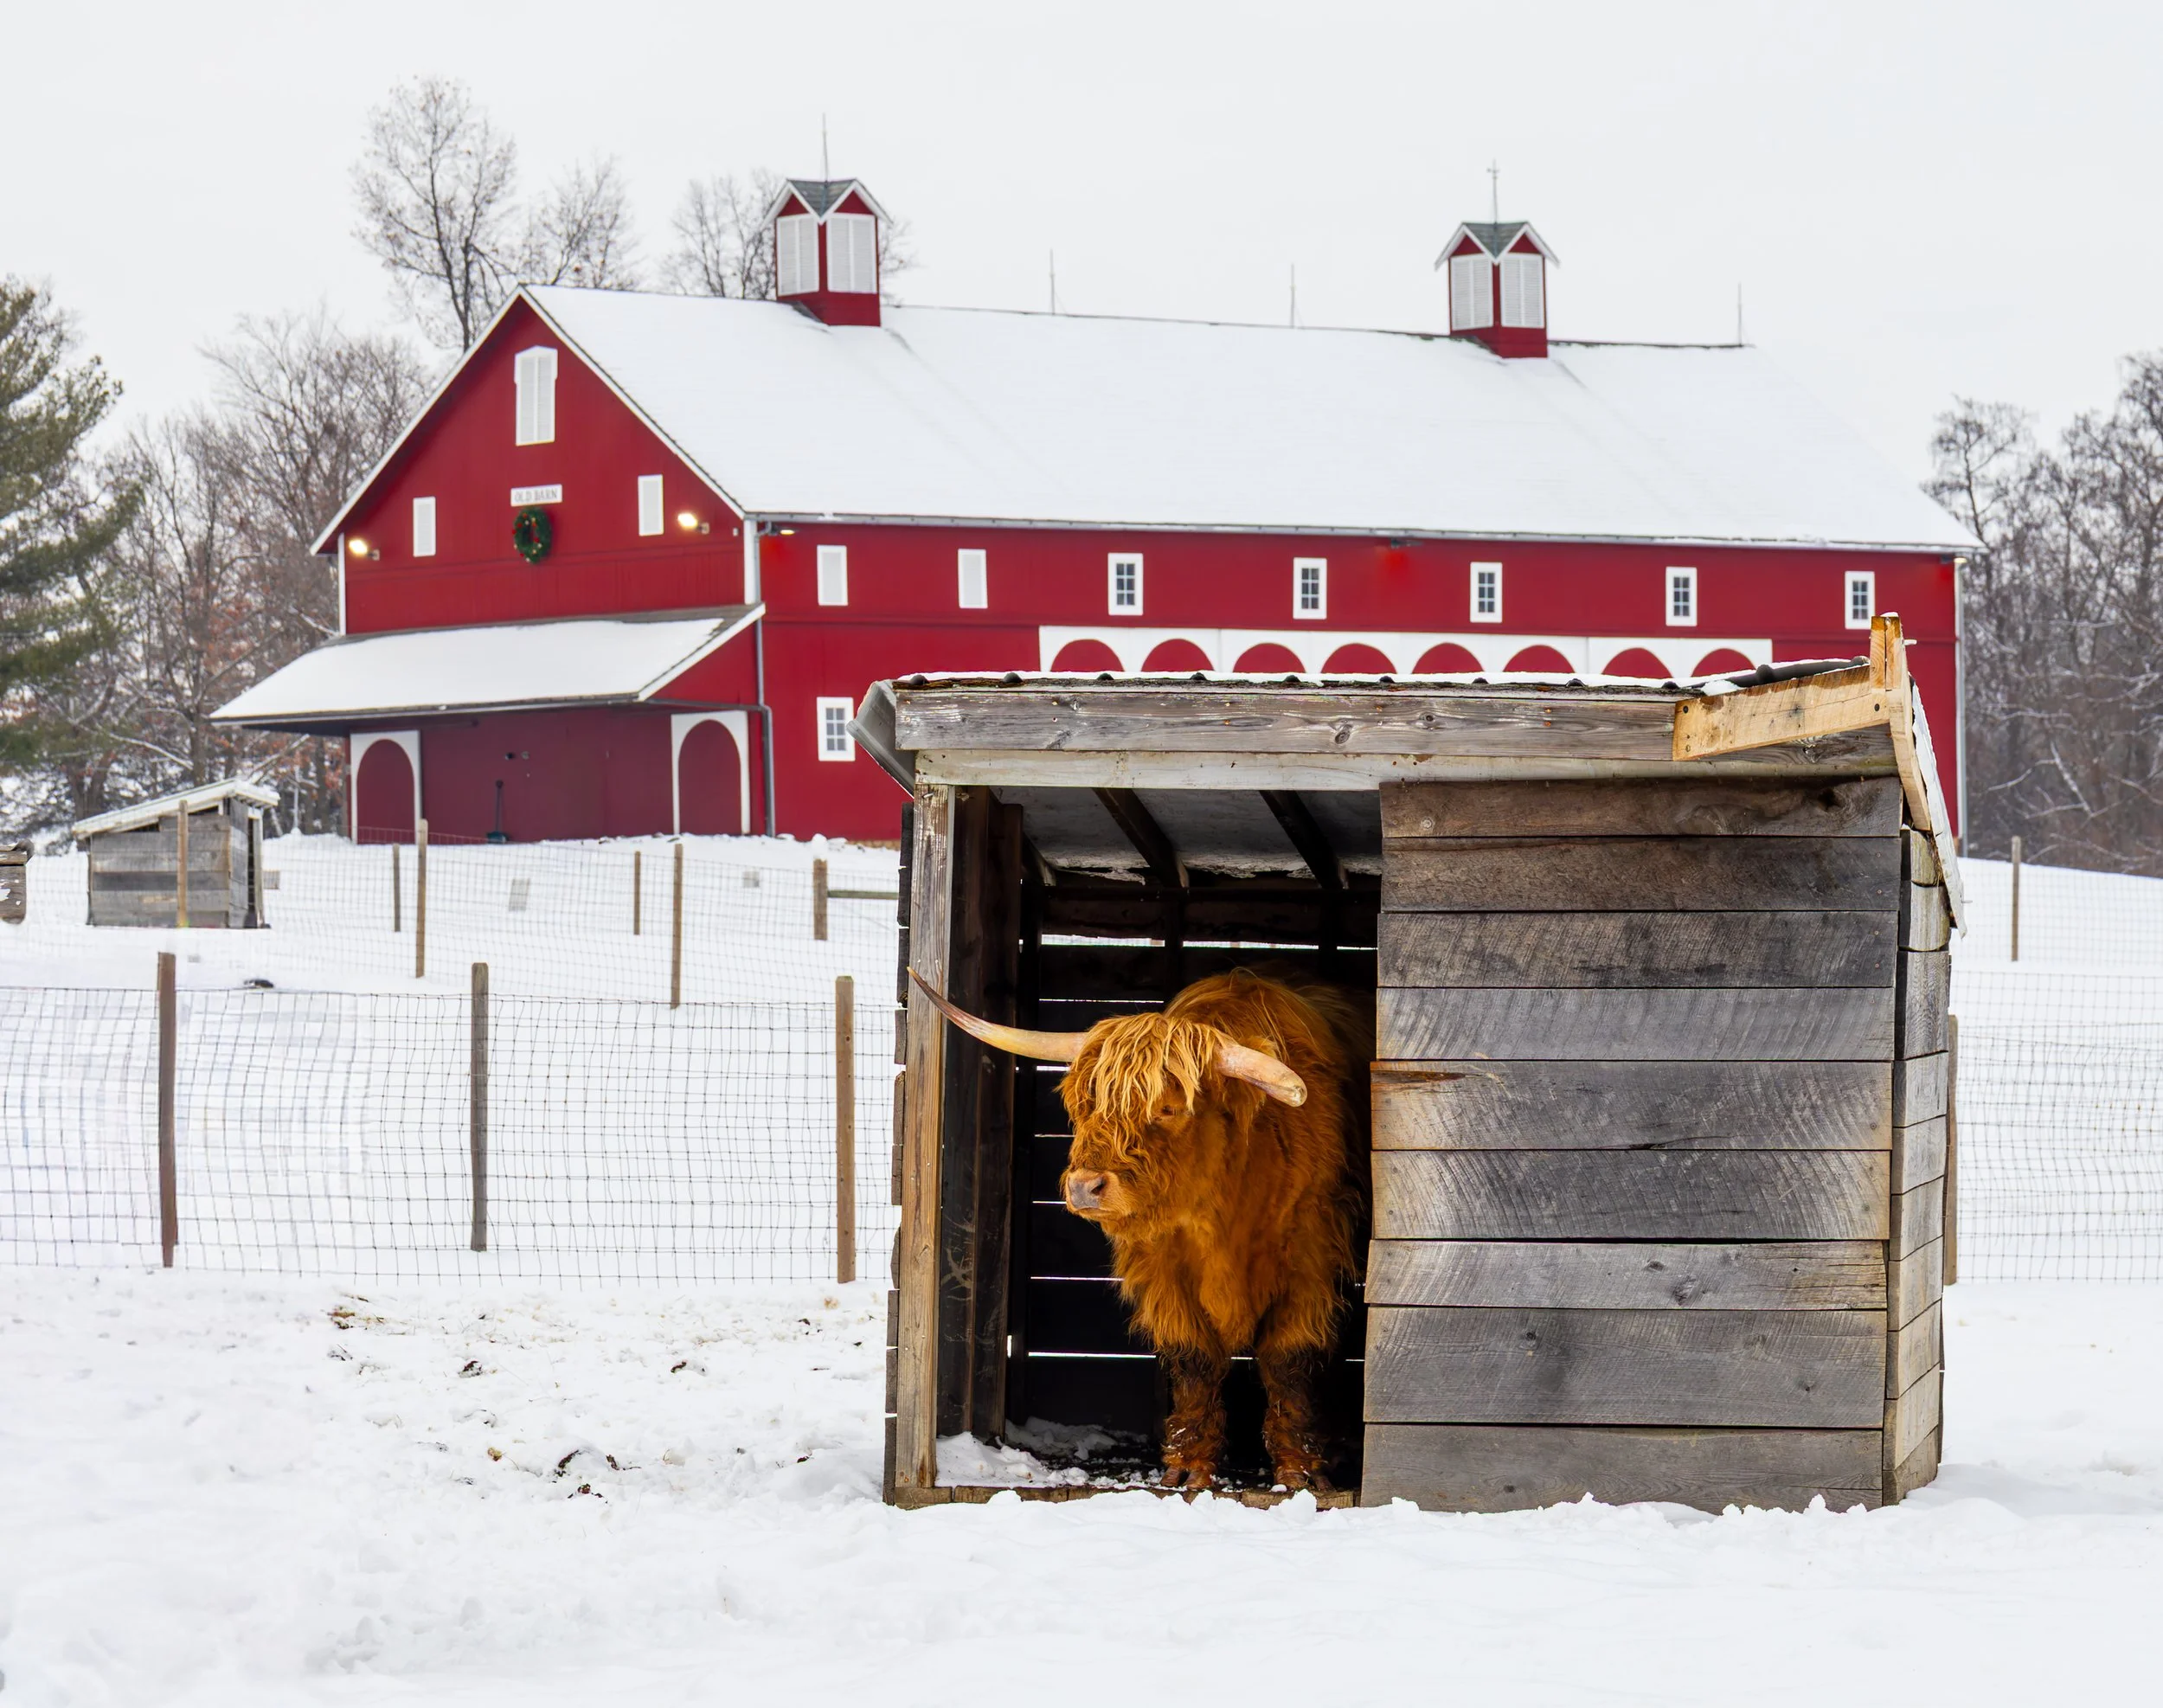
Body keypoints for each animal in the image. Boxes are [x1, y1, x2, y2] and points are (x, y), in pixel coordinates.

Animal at [914, 967, 1368, 1492]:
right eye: (1085, 1102)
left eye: (1168, 1108)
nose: (1085, 1187)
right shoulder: (1164, 1271)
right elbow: (1194, 1358)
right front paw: (1188, 1466)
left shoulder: (1310, 1265)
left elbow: (1288, 1361)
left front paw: (1299, 1471)